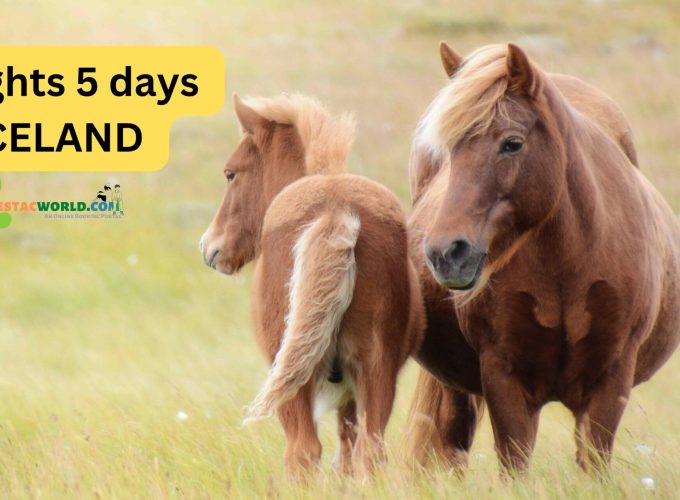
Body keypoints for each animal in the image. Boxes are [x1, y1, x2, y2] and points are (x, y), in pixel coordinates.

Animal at [200, 93, 424, 476]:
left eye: (231, 173)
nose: (210, 247)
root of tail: (336, 209)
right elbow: (348, 452)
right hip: (376, 369)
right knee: (369, 451)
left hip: (294, 382)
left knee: (302, 452)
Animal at [405, 42, 680, 473]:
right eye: (448, 150)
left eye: (512, 143)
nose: (445, 252)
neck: (566, 266)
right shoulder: (505, 380)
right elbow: (514, 465)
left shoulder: (610, 381)